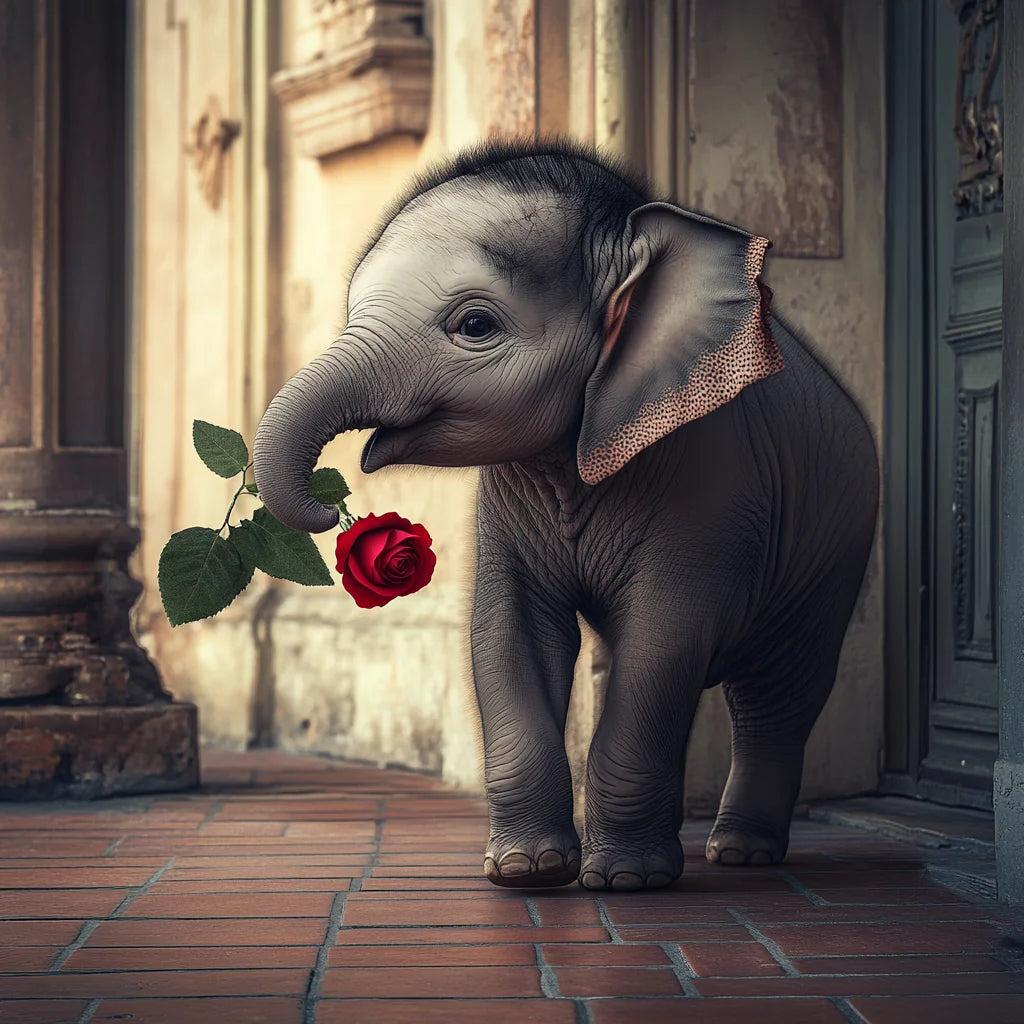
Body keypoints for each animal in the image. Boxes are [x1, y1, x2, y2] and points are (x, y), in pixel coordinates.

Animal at [253, 137, 879, 891]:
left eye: (475, 325)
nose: (333, 505)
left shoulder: (712, 486)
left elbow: (661, 644)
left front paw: (627, 881)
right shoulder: (506, 504)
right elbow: (507, 634)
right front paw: (526, 871)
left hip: (837, 551)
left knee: (778, 696)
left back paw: (742, 854)